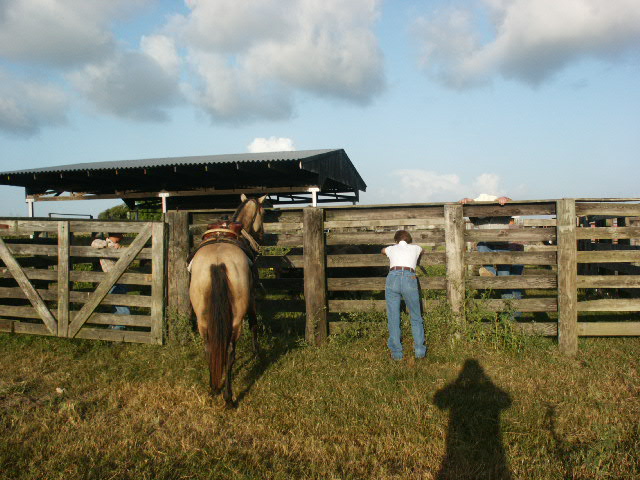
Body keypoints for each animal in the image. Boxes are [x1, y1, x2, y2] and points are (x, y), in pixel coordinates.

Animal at [189, 193, 266, 406]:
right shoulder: (252, 298)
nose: (262, 235)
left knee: (209, 349)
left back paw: (213, 388)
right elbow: (254, 324)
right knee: (230, 351)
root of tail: (218, 262)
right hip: (236, 317)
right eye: (263, 212)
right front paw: (257, 353)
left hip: (202, 318)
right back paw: (228, 397)